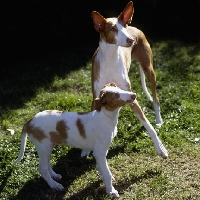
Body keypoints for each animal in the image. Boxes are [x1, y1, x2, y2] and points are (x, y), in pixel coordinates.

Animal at [80, 0, 168, 159]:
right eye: (113, 29)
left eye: (123, 27)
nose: (131, 40)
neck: (111, 58)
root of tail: (134, 27)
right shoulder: (97, 97)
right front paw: (85, 149)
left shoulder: (132, 97)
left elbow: (148, 126)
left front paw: (160, 148)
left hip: (149, 70)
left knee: (155, 98)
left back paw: (158, 120)